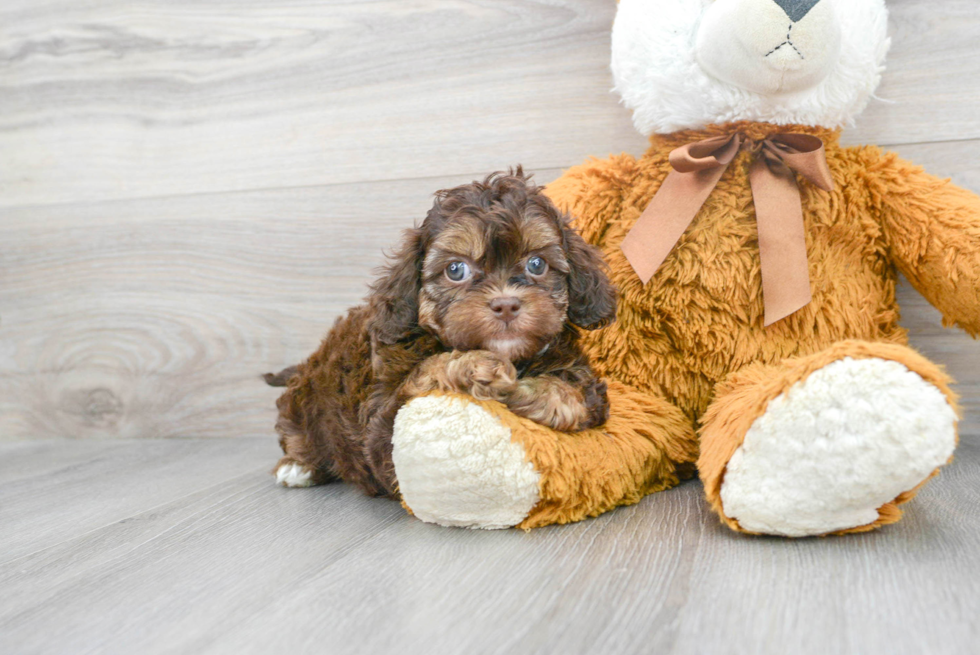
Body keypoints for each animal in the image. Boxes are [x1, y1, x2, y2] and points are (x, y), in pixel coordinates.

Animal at [264, 168, 616, 498]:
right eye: (455, 270)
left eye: (537, 264)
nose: (505, 305)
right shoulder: (383, 435)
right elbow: (427, 372)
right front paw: (475, 366)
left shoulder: (580, 373)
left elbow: (576, 394)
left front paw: (532, 392)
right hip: (305, 402)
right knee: (296, 430)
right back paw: (298, 465)